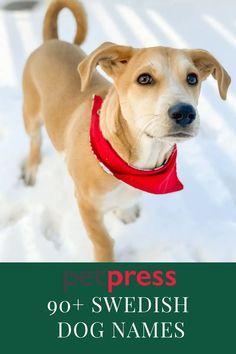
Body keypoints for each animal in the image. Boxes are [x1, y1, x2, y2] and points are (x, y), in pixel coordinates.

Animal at [21, 0, 230, 260]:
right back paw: (31, 168)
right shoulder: (87, 205)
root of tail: (52, 41)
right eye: (144, 79)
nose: (185, 112)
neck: (135, 163)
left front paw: (125, 212)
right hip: (31, 115)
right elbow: (103, 242)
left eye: (192, 78)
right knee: (35, 141)